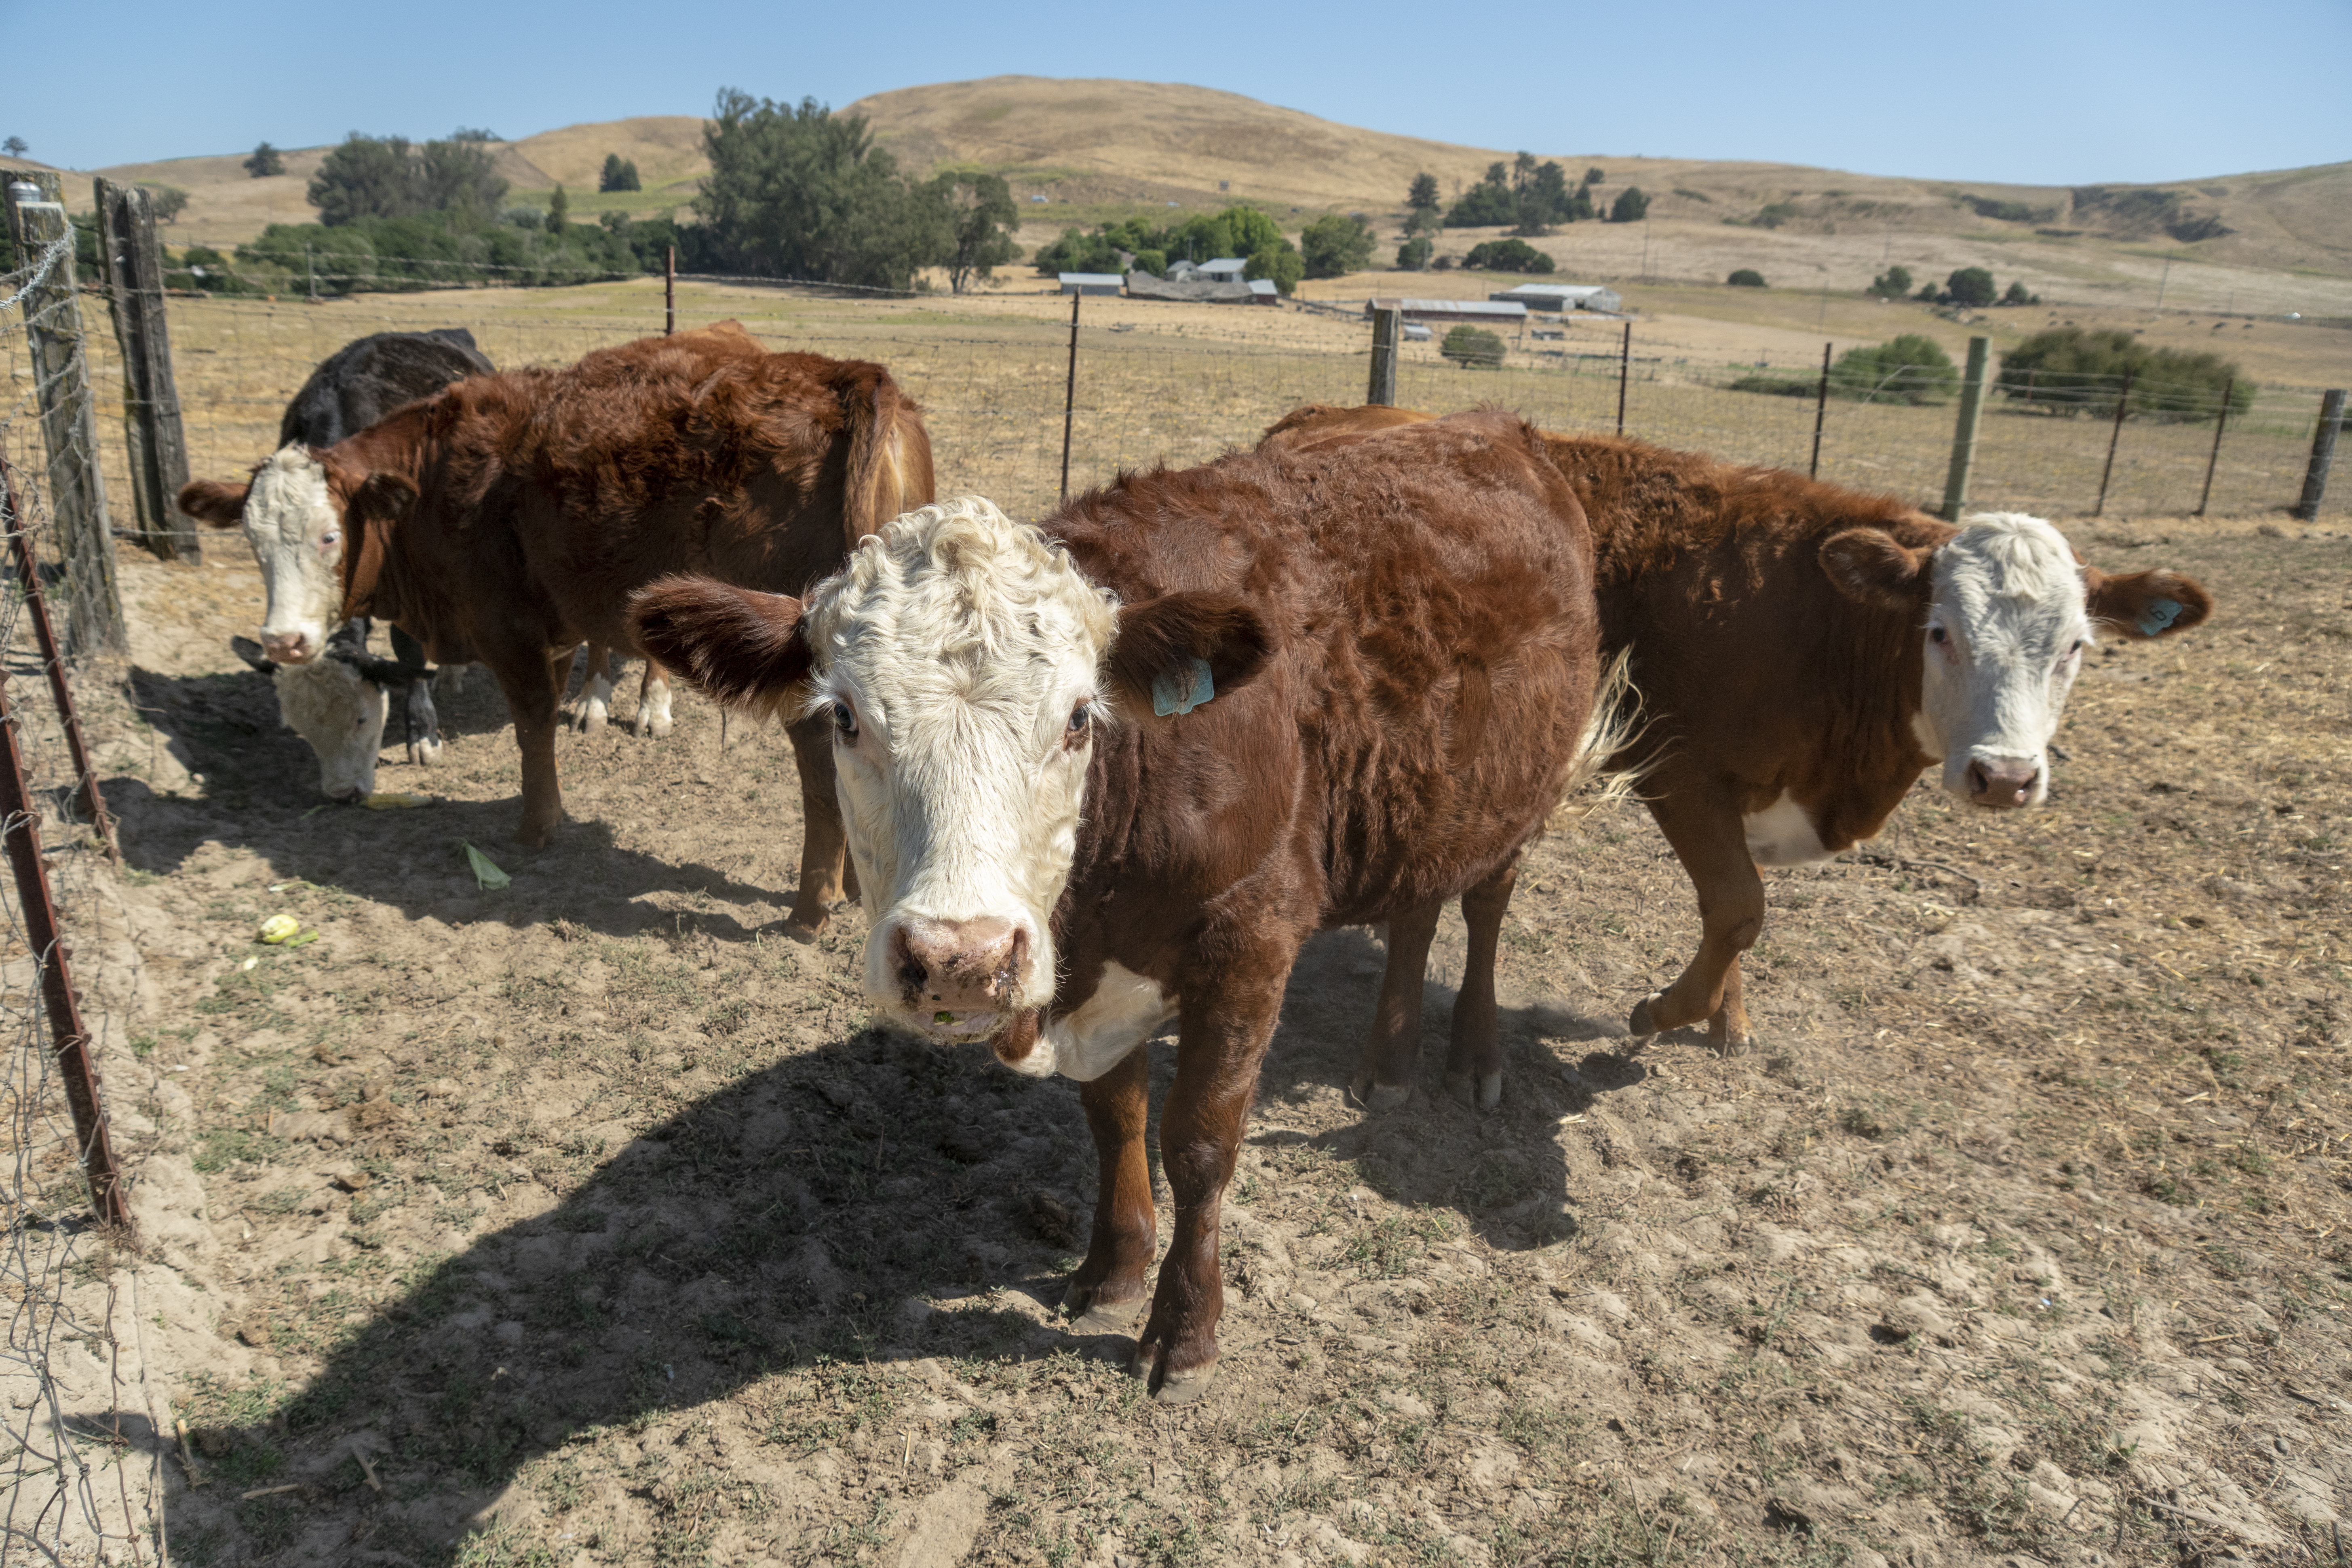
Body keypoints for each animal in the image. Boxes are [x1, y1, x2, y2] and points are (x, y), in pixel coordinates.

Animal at [635, 414, 1609, 1401]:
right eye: (843, 717)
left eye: (1077, 717)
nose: (959, 958)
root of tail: (1490, 429)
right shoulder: (1092, 972)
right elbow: (1117, 1119)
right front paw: (1112, 1271)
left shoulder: (1249, 942)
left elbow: (1200, 1142)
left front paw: (1183, 1330)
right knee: (1414, 911)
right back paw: (1386, 1061)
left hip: (1521, 792)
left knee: (1483, 904)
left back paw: (1474, 1058)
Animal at [1260, 414, 2211, 1053]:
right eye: (1939, 631)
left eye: (2076, 646)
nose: (2005, 777)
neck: (1816, 619)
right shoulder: (1679, 773)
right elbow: (1739, 904)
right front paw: (1665, 1010)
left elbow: (1733, 911)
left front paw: (1728, 1016)